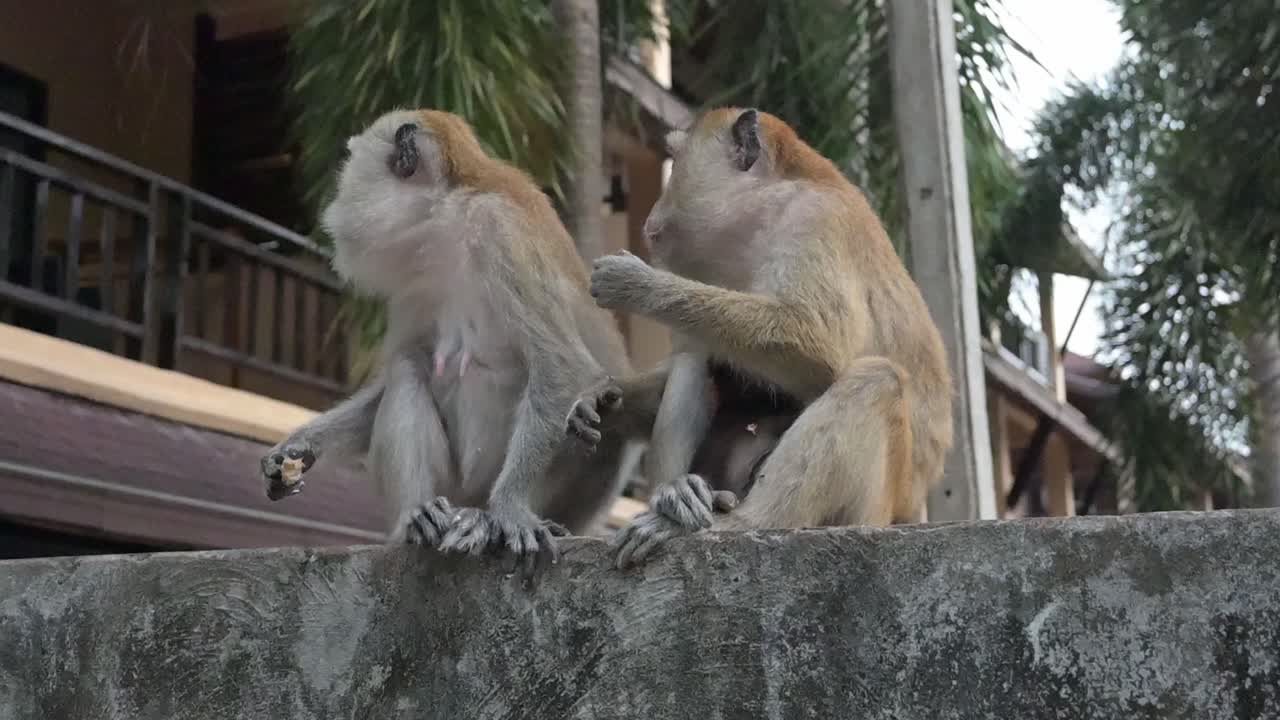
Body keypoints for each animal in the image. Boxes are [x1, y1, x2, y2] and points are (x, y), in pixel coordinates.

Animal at [260, 108, 643, 567]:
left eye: (351, 165)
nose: (335, 200)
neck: (450, 212)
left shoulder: (499, 230)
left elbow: (561, 364)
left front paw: (510, 508)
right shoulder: (416, 279)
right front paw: (299, 449)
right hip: (452, 487)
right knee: (409, 367)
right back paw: (417, 519)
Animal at [567, 107, 953, 567]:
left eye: (676, 161)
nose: (652, 214)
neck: (767, 209)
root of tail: (906, 510)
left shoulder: (815, 221)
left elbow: (818, 347)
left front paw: (637, 284)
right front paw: (606, 398)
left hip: (870, 510)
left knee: (878, 380)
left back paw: (735, 523)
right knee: (698, 354)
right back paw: (676, 495)